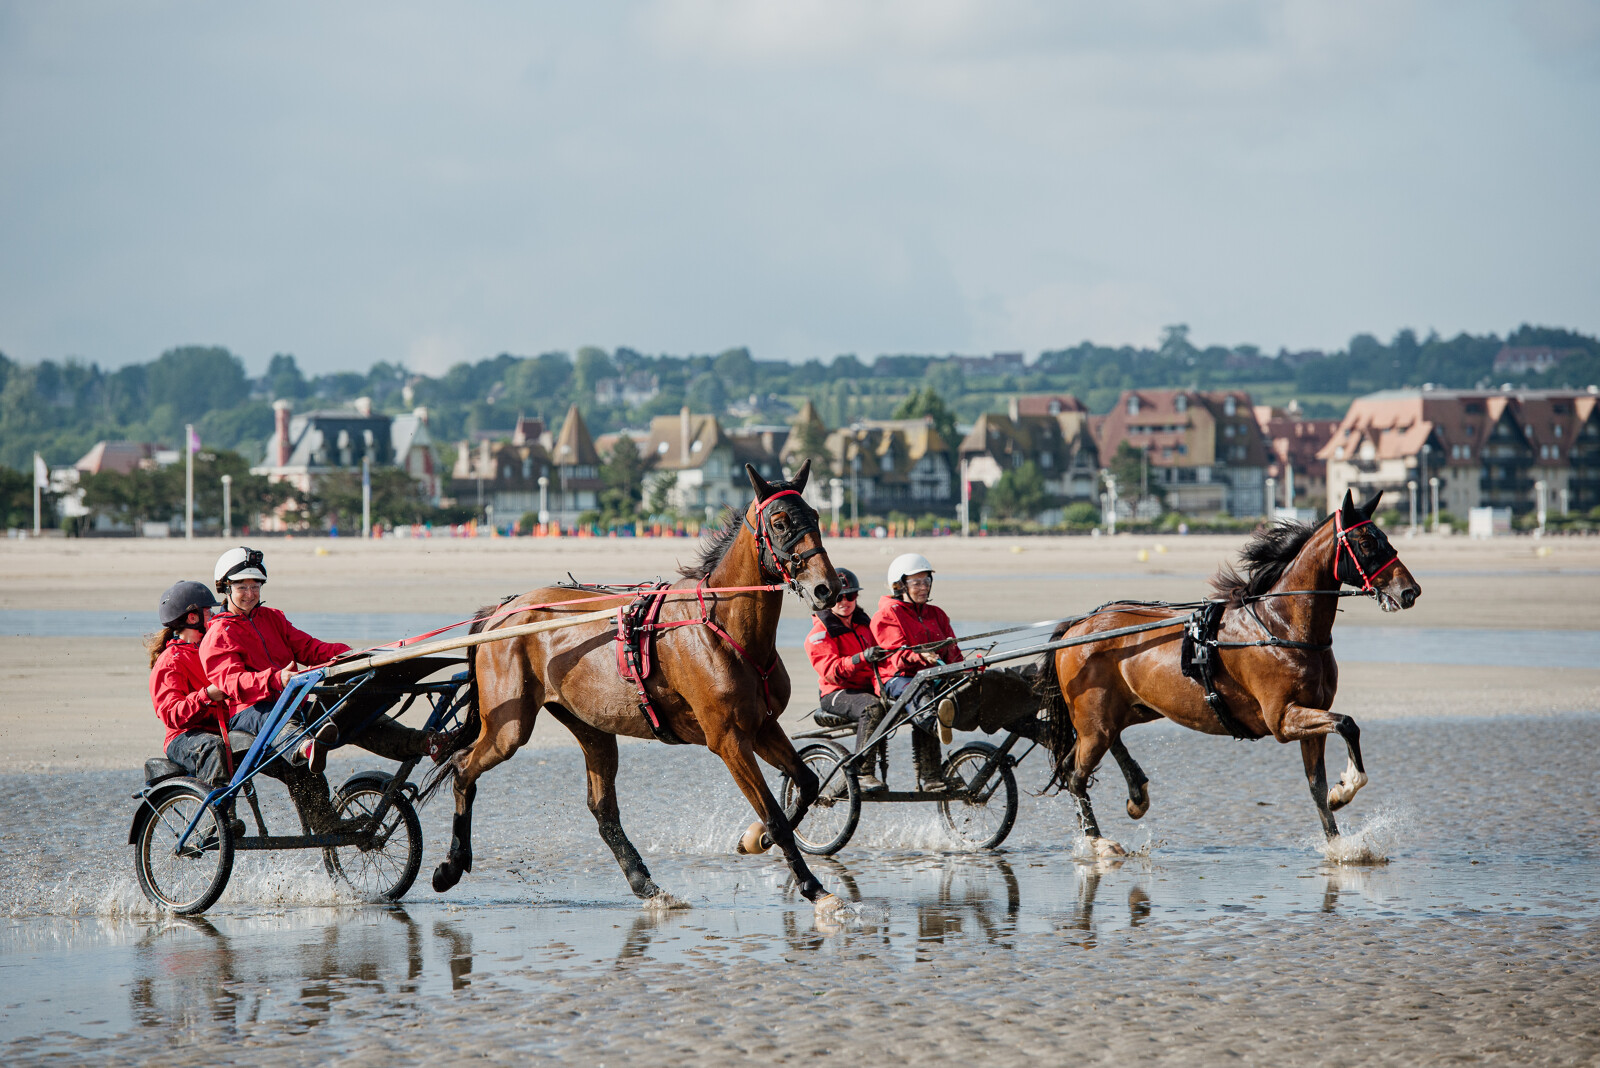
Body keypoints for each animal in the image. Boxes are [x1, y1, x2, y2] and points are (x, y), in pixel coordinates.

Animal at [425, 463, 851, 914]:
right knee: (463, 769)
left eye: (816, 517)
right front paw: (813, 886)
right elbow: (774, 814)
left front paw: (758, 838)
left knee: (603, 810)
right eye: (780, 522)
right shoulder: (730, 740)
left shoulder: (764, 727)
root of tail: (504, 610)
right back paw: (450, 866)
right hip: (509, 728)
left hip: (591, 726)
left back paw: (644, 882)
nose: (827, 587)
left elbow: (806, 784)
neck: (722, 626)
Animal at [1043, 489, 1420, 850]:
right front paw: (1346, 788)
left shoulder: (1311, 714)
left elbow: (1317, 785)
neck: (1279, 626)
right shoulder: (1283, 718)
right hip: (1095, 722)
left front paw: (1338, 836)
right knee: (1076, 775)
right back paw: (1098, 842)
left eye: (1384, 537)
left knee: (1087, 755)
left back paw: (1137, 794)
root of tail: (1078, 627)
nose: (1410, 591)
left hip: (1128, 711)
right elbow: (1347, 724)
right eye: (1366, 542)